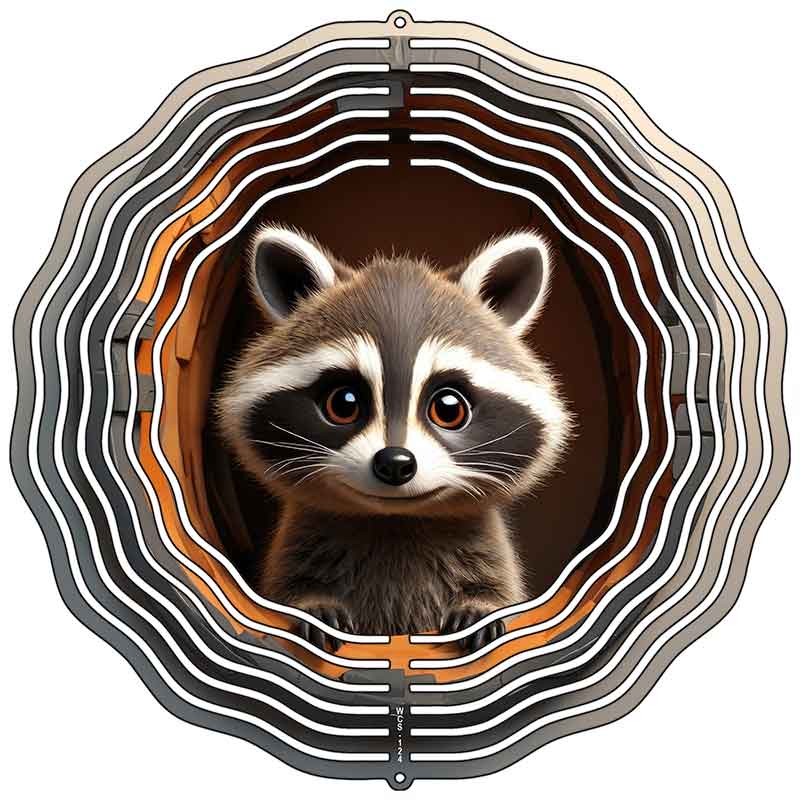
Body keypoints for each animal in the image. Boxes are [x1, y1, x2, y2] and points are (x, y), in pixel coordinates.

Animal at [216, 225, 573, 652]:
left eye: (449, 408)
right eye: (344, 403)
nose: (395, 463)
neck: (395, 521)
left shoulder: (484, 550)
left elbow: (498, 589)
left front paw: (481, 604)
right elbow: (290, 586)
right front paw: (312, 602)